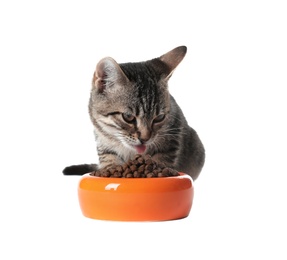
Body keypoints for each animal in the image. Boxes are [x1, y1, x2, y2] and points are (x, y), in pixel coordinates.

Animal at [63, 45, 205, 180]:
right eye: (128, 117)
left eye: (159, 117)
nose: (145, 139)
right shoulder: (103, 142)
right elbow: (109, 159)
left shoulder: (172, 136)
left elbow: (162, 159)